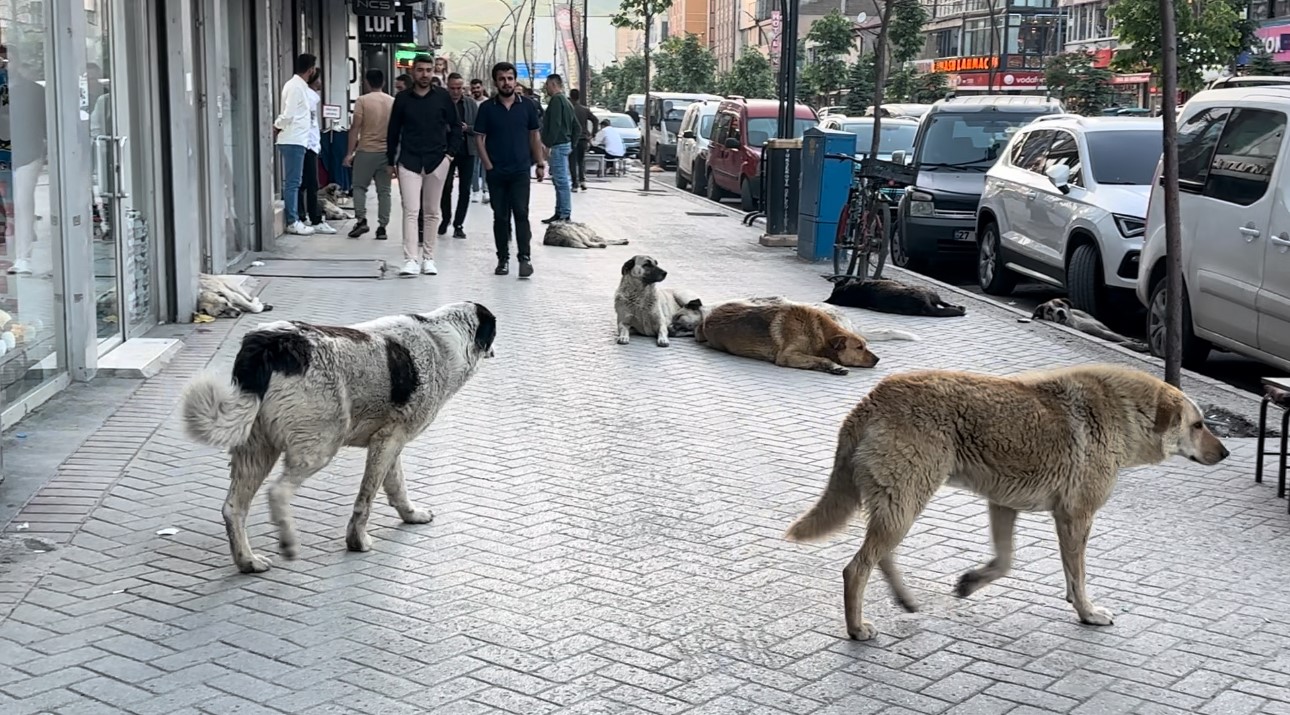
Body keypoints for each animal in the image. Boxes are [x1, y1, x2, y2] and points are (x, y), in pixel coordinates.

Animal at [180, 300, 497, 573]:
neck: (441, 339)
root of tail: (270, 344)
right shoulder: (389, 440)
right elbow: (366, 498)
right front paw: (357, 541)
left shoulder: (388, 439)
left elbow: (396, 486)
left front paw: (410, 515)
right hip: (320, 445)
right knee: (278, 492)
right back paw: (288, 542)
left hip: (257, 448)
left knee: (233, 508)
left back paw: (247, 561)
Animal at [696, 295, 918, 371]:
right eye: (859, 347)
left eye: (865, 346)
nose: (878, 359)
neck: (817, 331)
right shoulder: (787, 356)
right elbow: (818, 359)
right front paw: (833, 366)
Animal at [784, 363, 1228, 637]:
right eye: (1198, 425)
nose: (1225, 454)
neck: (1126, 412)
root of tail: (873, 397)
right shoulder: (1076, 517)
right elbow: (1078, 576)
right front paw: (1086, 612)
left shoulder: (1004, 505)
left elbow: (1006, 562)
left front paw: (971, 582)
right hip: (906, 503)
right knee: (856, 568)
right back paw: (856, 628)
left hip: (900, 505)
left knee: (880, 557)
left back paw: (904, 599)